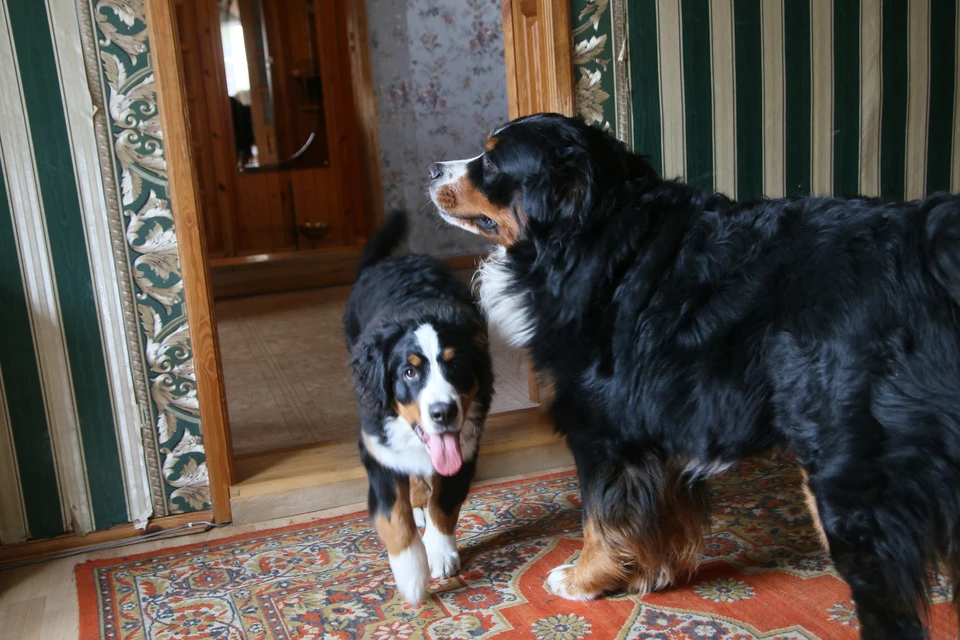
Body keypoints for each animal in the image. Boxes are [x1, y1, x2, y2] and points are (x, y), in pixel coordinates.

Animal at [344, 211, 496, 604]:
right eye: (409, 372)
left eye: (456, 366)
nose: (443, 413)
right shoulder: (376, 448)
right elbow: (393, 516)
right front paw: (412, 574)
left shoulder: (466, 446)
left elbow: (445, 504)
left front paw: (440, 553)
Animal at [432, 115, 960, 640]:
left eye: (492, 163)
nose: (435, 168)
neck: (592, 240)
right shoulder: (652, 428)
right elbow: (653, 517)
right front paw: (647, 576)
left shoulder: (603, 430)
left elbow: (600, 519)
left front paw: (585, 579)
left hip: (846, 470)